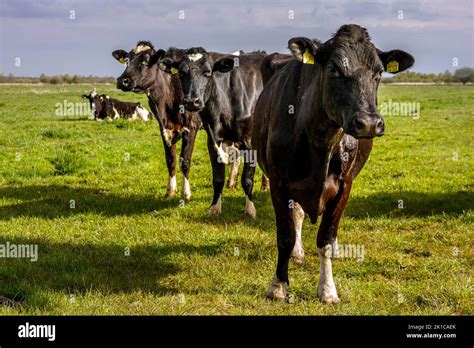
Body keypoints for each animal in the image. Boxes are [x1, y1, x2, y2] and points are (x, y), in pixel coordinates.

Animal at [254, 23, 412, 302]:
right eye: (333, 69)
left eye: (378, 72)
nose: (369, 123)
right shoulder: (278, 182)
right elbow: (284, 236)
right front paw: (278, 285)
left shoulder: (344, 185)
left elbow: (326, 239)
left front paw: (327, 289)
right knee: (297, 215)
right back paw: (297, 253)